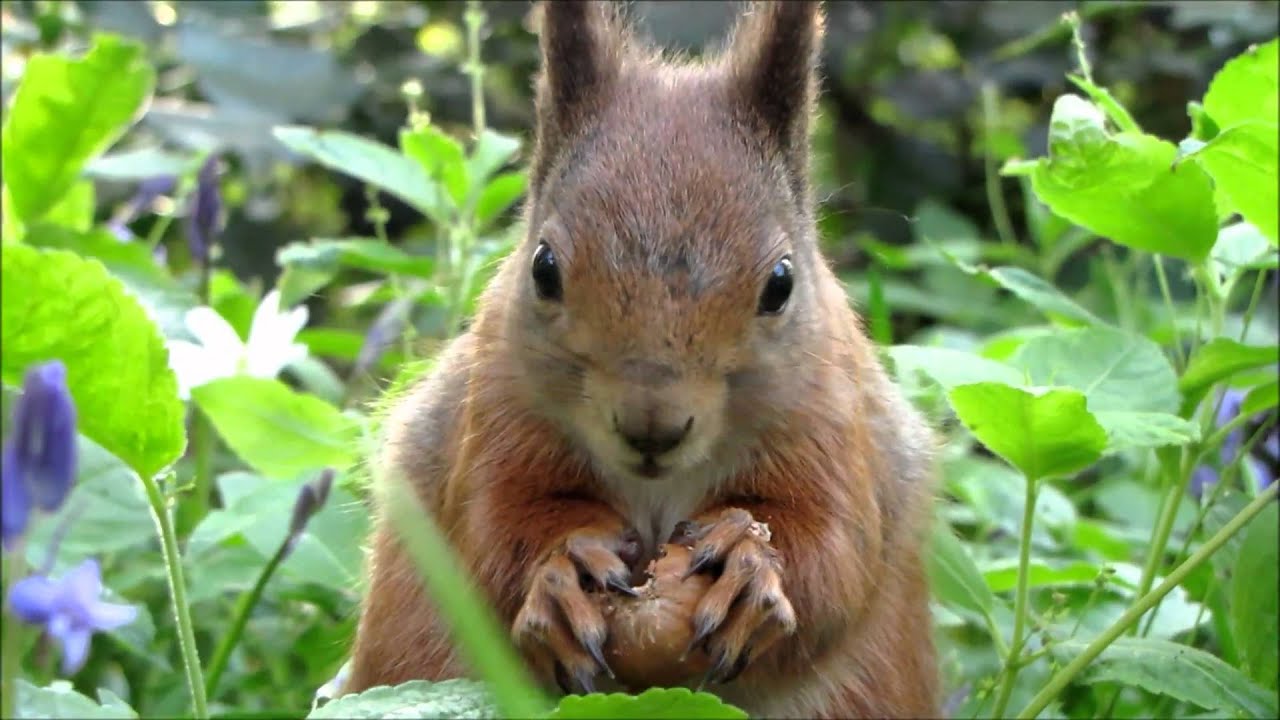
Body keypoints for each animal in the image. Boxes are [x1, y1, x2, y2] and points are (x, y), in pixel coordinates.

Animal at [346, 1, 940, 717]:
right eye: (544, 269)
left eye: (780, 283)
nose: (651, 428)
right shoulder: (496, 407)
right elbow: (493, 524)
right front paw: (562, 569)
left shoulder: (829, 415)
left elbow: (836, 549)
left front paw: (749, 565)